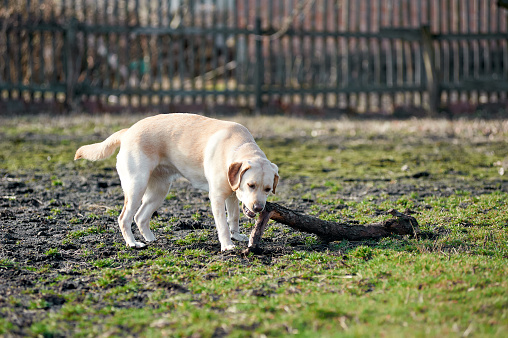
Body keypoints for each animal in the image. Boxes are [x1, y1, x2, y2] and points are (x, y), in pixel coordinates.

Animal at [74, 114, 278, 251]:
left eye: (268, 189)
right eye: (250, 185)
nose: (259, 208)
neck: (237, 147)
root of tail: (127, 131)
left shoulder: (232, 195)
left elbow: (234, 218)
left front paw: (236, 236)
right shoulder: (218, 197)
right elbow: (223, 225)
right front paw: (227, 244)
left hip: (159, 191)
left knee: (140, 217)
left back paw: (151, 239)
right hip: (136, 188)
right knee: (124, 218)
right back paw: (133, 243)